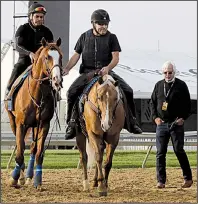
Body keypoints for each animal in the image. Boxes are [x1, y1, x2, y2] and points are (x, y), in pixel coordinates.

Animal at [4, 37, 63, 190]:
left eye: (60, 56)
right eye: (47, 57)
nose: (57, 80)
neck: (38, 94)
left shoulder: (44, 124)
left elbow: (39, 153)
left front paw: (37, 181)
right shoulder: (21, 124)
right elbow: (19, 152)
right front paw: (15, 178)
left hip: (35, 126)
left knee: (32, 148)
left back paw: (30, 176)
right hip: (14, 122)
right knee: (21, 146)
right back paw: (21, 176)